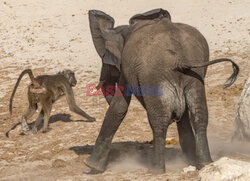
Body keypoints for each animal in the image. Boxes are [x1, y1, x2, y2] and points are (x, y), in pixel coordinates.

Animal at [85, 8, 239, 173]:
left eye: (106, 62)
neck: (122, 30)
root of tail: (179, 57)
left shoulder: (126, 70)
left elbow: (119, 107)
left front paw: (90, 166)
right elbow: (184, 116)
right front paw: (191, 160)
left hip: (154, 74)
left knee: (159, 120)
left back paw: (155, 170)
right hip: (194, 73)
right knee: (199, 114)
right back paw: (204, 163)